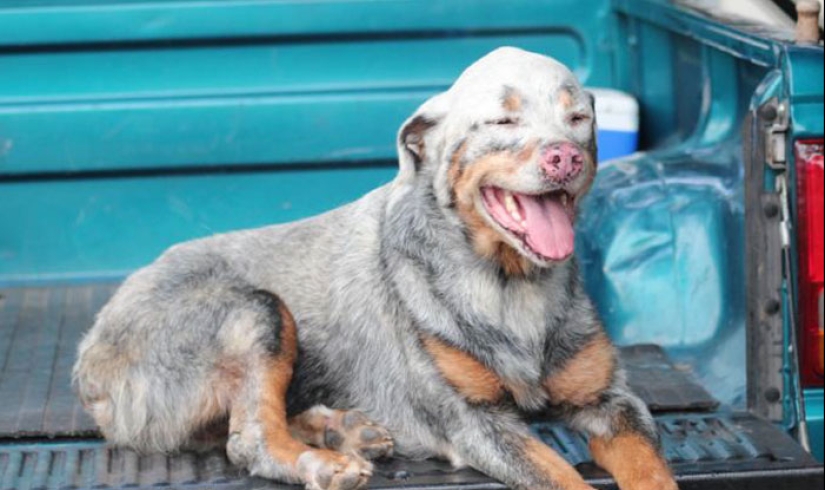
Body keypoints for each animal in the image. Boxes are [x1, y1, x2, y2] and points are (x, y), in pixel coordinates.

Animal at [72, 47, 676, 490]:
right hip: (254, 309)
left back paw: (340, 430)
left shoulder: (612, 402)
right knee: (247, 439)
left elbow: (651, 469)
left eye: (578, 118)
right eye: (503, 119)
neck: (509, 283)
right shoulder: (475, 421)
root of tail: (89, 355)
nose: (564, 157)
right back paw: (324, 460)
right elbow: (558, 475)